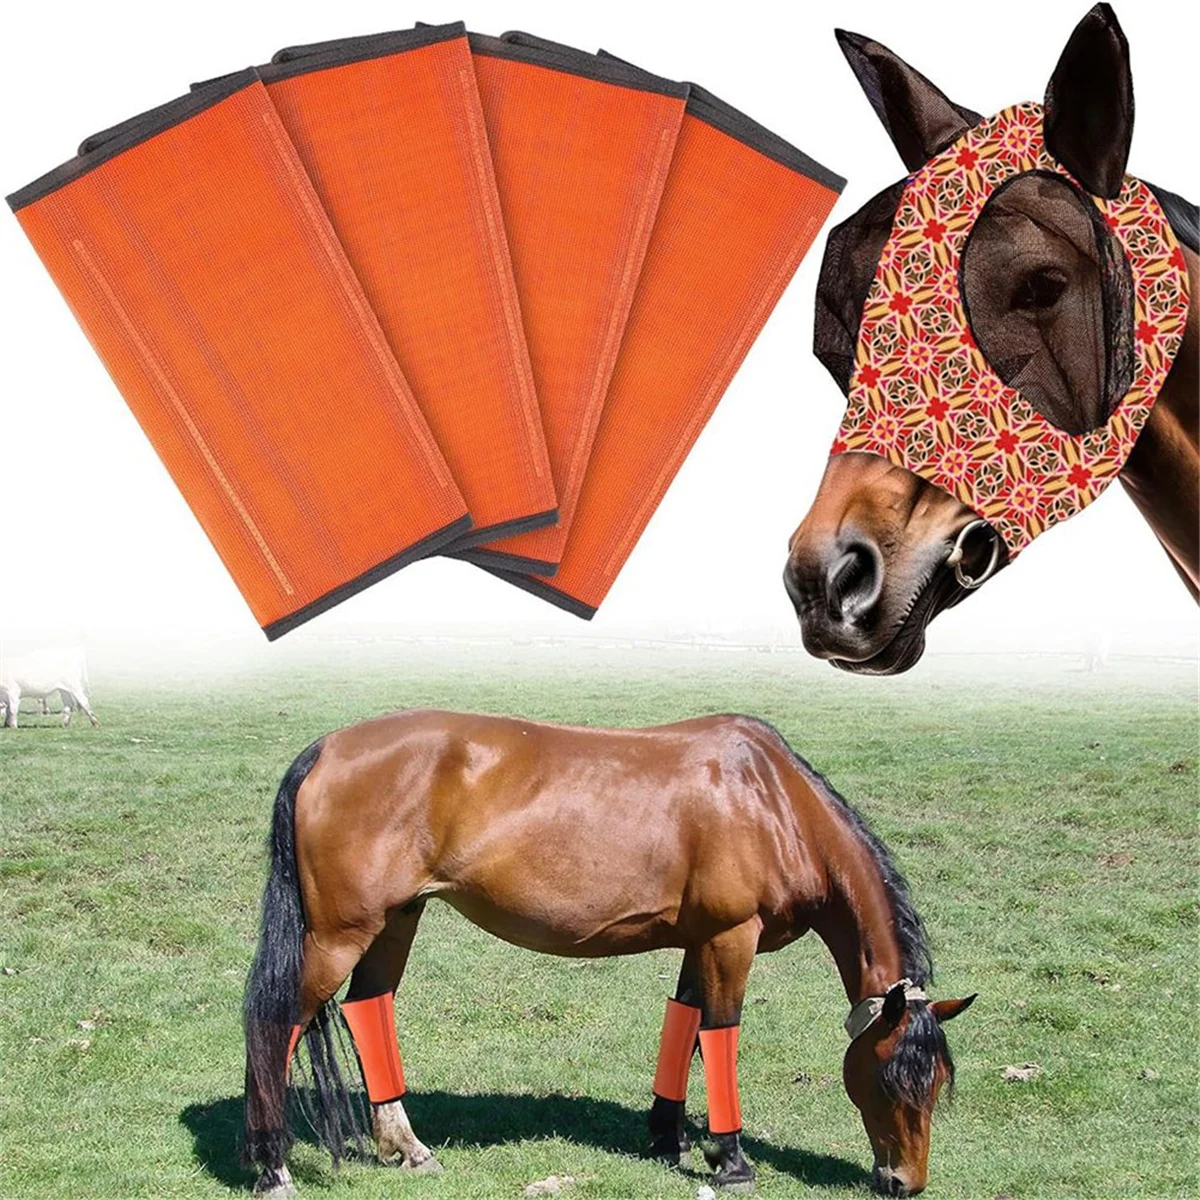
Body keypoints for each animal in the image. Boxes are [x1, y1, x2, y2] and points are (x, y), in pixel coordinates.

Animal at [242, 710, 974, 1198]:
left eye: (937, 1082)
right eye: (889, 1079)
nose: (904, 1182)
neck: (770, 800)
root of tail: (326, 749)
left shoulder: (698, 940)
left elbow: (685, 1026)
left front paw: (667, 1137)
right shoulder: (731, 937)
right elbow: (722, 1033)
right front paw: (732, 1160)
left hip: (394, 921)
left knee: (370, 1008)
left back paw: (406, 1147)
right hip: (338, 935)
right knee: (273, 1024)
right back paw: (271, 1166)